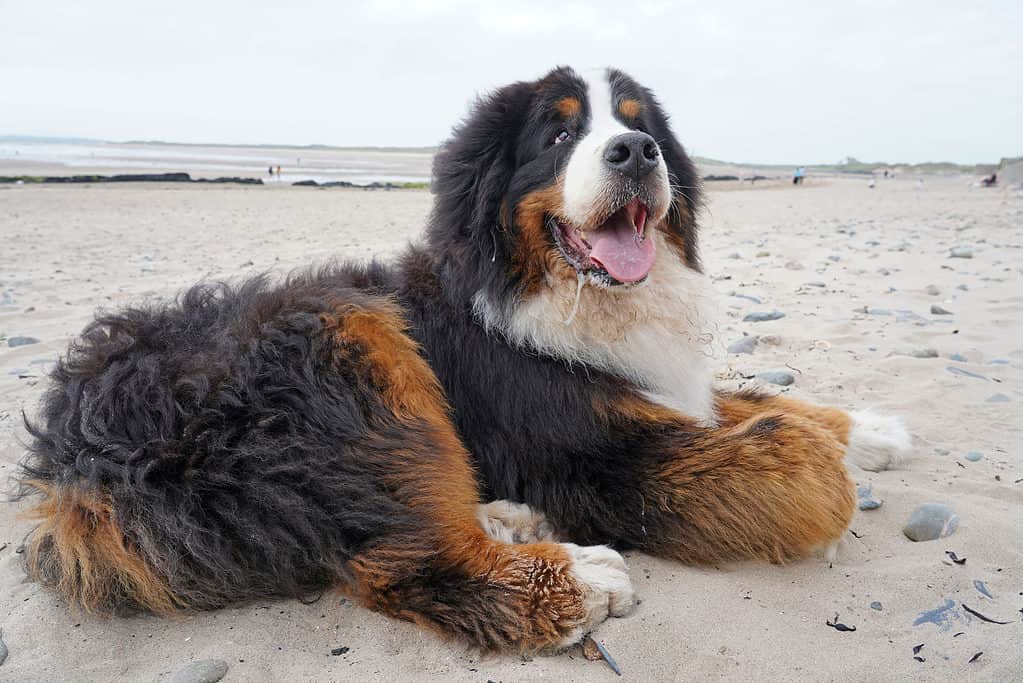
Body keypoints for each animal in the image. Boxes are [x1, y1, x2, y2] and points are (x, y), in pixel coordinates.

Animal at [15, 66, 912, 654]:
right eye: (559, 134)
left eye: (639, 123)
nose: (635, 151)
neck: (545, 294)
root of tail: (71, 462)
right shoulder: (585, 448)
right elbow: (794, 459)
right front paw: (832, 471)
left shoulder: (657, 385)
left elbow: (759, 399)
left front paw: (869, 428)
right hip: (345, 329)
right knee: (399, 561)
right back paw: (574, 579)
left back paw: (508, 519)